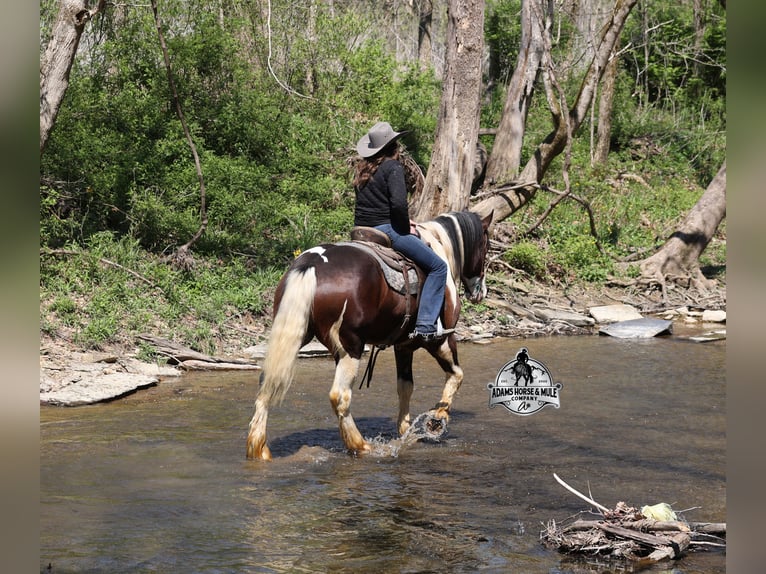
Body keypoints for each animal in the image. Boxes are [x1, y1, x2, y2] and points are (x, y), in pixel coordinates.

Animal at [246, 210, 493, 460]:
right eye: (486, 245)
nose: (480, 292)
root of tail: (311, 264)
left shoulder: (403, 345)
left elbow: (405, 386)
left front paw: (405, 430)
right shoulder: (440, 340)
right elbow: (456, 375)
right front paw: (437, 419)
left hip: (293, 336)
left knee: (266, 384)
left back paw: (258, 448)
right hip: (350, 347)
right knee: (340, 396)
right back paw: (360, 445)